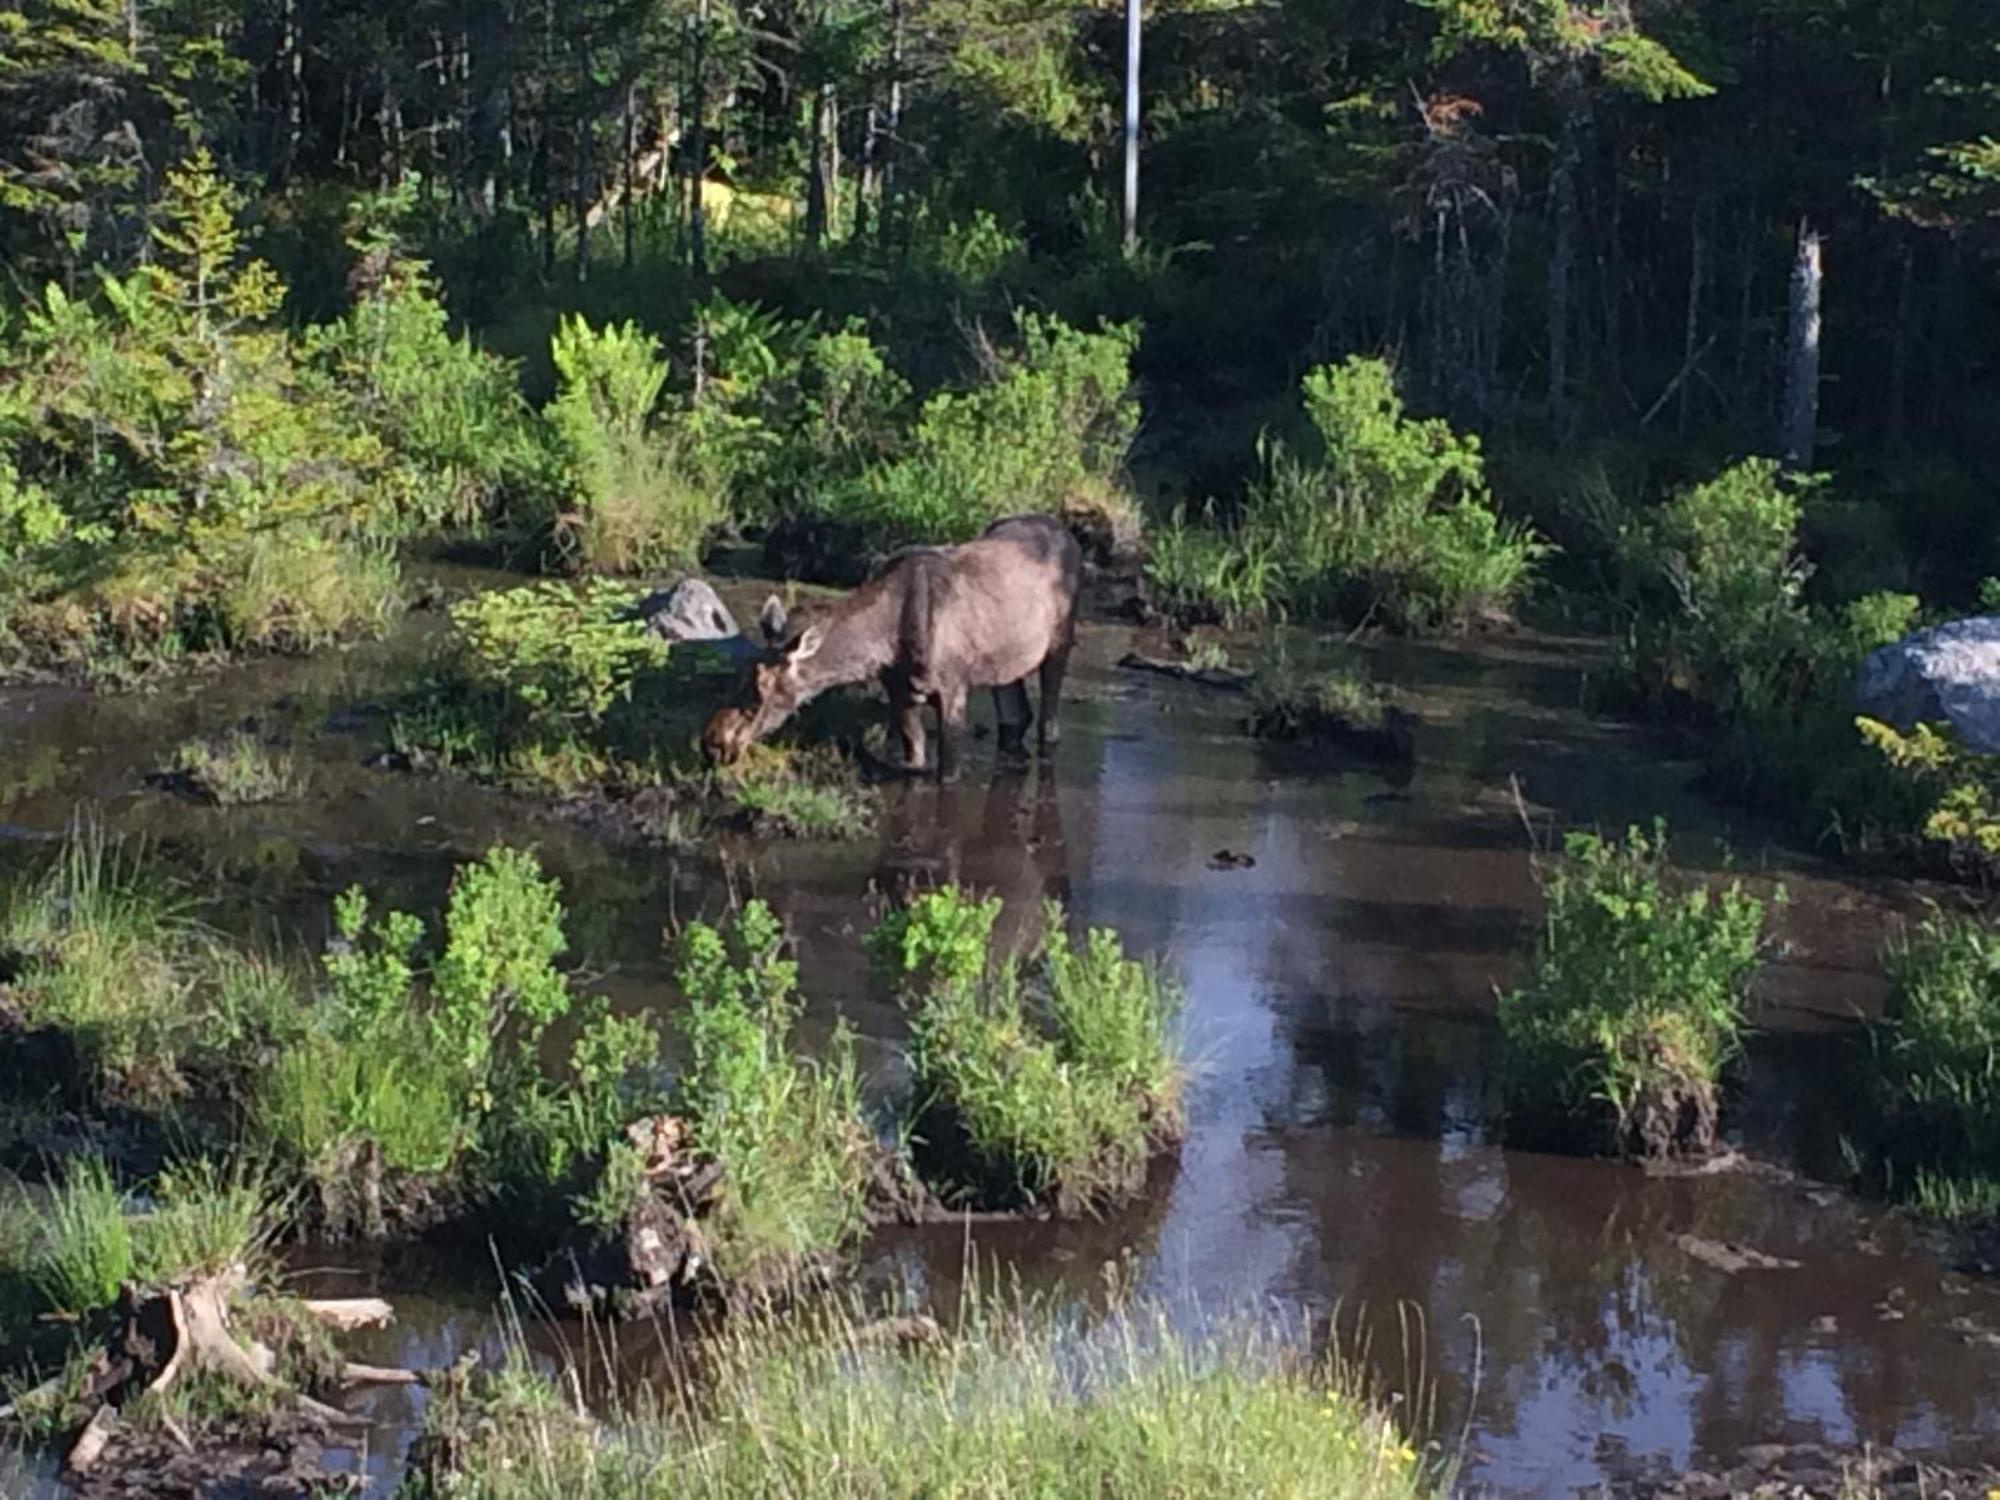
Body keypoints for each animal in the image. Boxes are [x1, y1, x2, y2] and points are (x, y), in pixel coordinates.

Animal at [704, 516, 1080, 780]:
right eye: (739, 674)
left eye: (761, 689)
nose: (713, 743)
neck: (885, 645)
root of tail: (1068, 534)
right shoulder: (900, 692)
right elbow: (913, 759)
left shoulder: (954, 690)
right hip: (1004, 661)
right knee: (1016, 714)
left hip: (1060, 642)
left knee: (1049, 723)